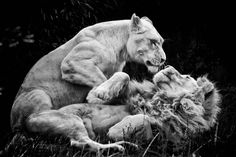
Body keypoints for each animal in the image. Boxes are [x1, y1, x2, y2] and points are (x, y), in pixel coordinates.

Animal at [11, 14, 165, 131]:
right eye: (153, 42)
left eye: (161, 42)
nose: (164, 59)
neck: (121, 50)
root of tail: (11, 121)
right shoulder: (72, 63)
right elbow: (106, 78)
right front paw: (97, 96)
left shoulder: (113, 71)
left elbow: (120, 78)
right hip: (38, 93)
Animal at [24, 65, 219, 151]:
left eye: (186, 76)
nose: (167, 66)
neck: (161, 100)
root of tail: (26, 123)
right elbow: (122, 75)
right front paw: (100, 92)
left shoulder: (168, 139)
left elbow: (145, 119)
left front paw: (117, 130)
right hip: (69, 119)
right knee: (79, 142)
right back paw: (118, 146)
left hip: (71, 122)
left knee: (81, 142)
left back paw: (118, 146)